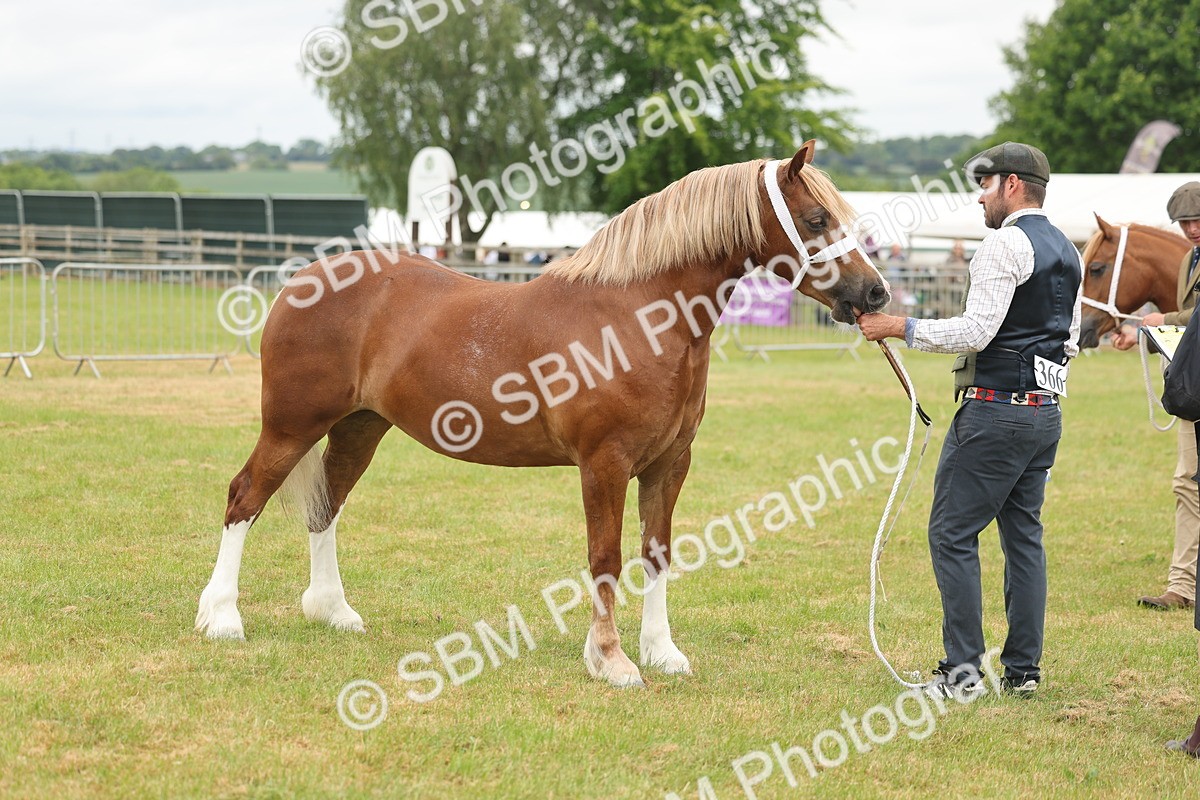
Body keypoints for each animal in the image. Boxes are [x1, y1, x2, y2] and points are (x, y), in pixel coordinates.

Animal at [194, 141, 890, 688]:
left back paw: (332, 611)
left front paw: (661, 652)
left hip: (359, 428)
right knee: (244, 496)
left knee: (325, 506)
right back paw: (222, 617)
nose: (876, 292)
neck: (638, 317)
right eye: (816, 217)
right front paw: (611, 661)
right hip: (291, 426)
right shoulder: (605, 464)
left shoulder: (669, 463)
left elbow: (657, 553)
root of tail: (300, 281)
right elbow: (606, 558)